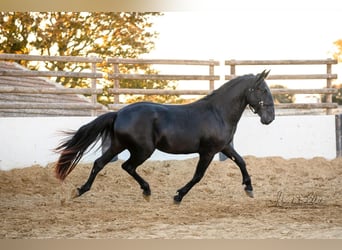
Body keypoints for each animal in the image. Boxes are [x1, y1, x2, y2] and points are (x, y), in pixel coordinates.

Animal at [56, 70, 276, 203]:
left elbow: (241, 162)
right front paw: (178, 196)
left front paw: (249, 188)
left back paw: (81, 190)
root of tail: (118, 113)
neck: (217, 113)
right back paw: (146, 191)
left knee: (100, 163)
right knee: (127, 166)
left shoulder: (224, 147)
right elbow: (198, 176)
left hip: (119, 145)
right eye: (262, 90)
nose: (270, 118)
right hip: (143, 150)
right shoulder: (208, 151)